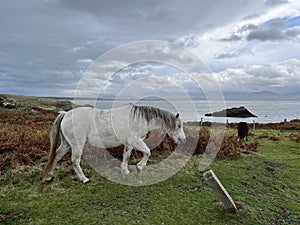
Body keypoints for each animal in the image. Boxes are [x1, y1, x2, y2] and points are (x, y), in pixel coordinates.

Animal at [42, 103, 185, 183]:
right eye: (178, 126)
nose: (183, 140)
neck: (139, 119)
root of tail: (65, 114)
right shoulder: (135, 141)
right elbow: (147, 152)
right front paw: (139, 167)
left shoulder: (129, 143)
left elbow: (126, 156)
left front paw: (125, 170)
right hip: (77, 144)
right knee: (75, 161)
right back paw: (84, 179)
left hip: (66, 143)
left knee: (57, 156)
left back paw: (48, 177)